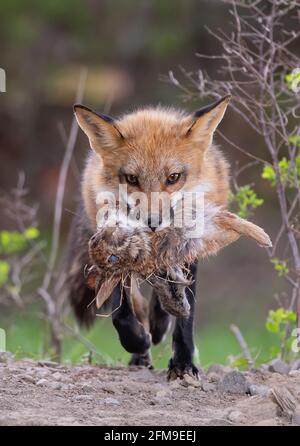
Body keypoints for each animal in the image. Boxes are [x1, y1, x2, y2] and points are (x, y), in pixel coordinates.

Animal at [68, 96, 231, 378]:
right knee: (139, 300)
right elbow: (121, 312)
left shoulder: (189, 248)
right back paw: (143, 347)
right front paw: (136, 341)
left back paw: (159, 322)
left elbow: (186, 313)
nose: (153, 222)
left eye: (173, 177)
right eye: (132, 178)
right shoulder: (113, 248)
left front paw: (183, 362)